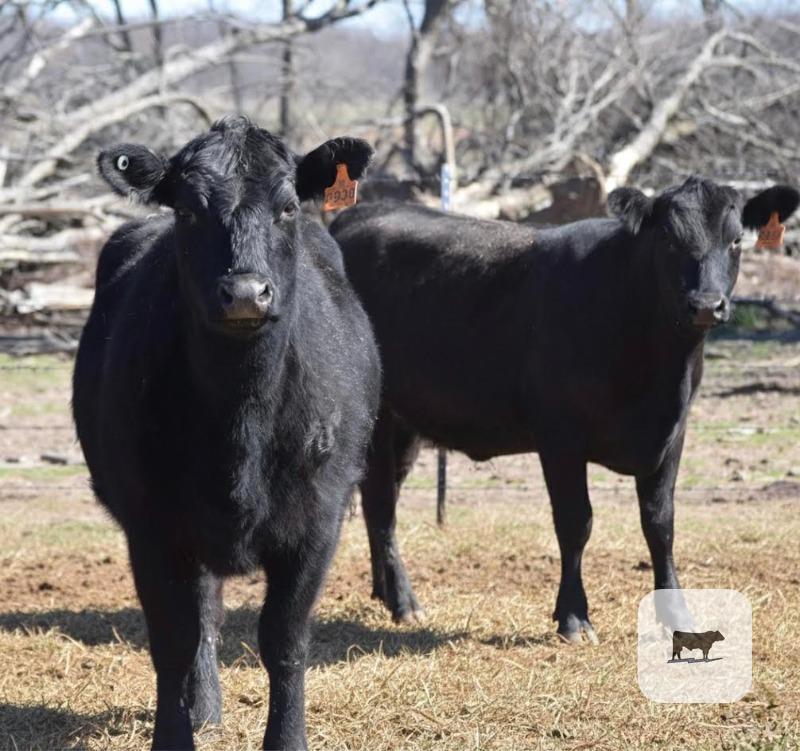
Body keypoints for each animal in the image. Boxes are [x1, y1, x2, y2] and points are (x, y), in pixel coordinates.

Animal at [72, 117, 380, 751]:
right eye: (188, 211)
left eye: (287, 206)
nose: (244, 293)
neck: (242, 424)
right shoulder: (152, 526)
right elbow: (173, 640)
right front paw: (173, 736)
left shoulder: (318, 520)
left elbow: (284, 640)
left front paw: (287, 740)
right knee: (205, 617)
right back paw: (205, 708)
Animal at [330, 177, 799, 644]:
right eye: (668, 238)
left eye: (736, 239)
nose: (705, 304)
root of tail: (358, 214)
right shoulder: (560, 435)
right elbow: (576, 522)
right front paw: (574, 617)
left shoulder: (673, 434)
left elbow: (660, 525)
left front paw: (678, 615)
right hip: (376, 417)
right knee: (382, 504)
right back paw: (404, 602)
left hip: (404, 424)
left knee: (380, 497)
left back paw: (383, 591)